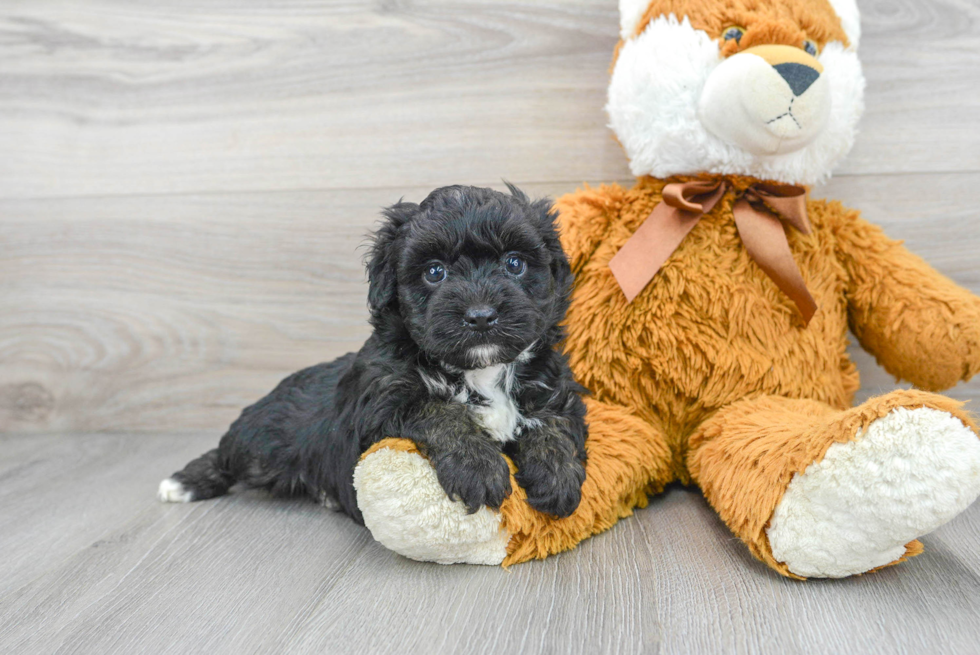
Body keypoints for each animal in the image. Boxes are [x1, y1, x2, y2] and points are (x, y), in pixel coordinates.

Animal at [160, 184, 584, 524]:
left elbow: (552, 423)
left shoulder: (556, 390)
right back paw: (184, 481)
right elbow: (440, 412)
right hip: (263, 443)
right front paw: (477, 467)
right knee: (228, 455)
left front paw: (557, 474)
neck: (481, 370)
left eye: (514, 264)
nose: (480, 316)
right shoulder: (382, 402)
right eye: (435, 272)